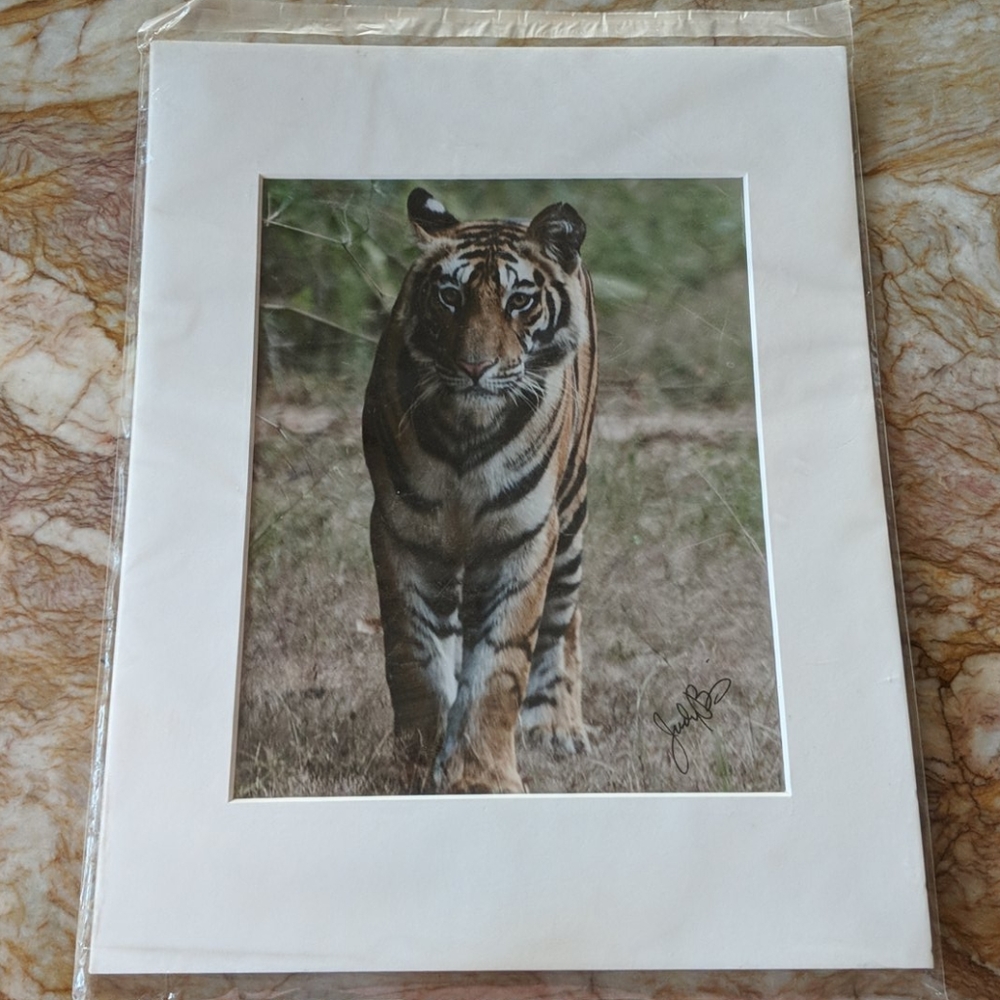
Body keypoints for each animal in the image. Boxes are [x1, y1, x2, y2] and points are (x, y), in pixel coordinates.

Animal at [362, 188, 598, 794]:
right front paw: (416, 760)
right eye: (450, 297)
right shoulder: (402, 531)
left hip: (571, 511)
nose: (475, 367)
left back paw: (558, 725)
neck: (466, 431)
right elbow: (414, 653)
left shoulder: (526, 537)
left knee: (564, 617)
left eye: (520, 301)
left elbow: (500, 666)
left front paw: (480, 776)